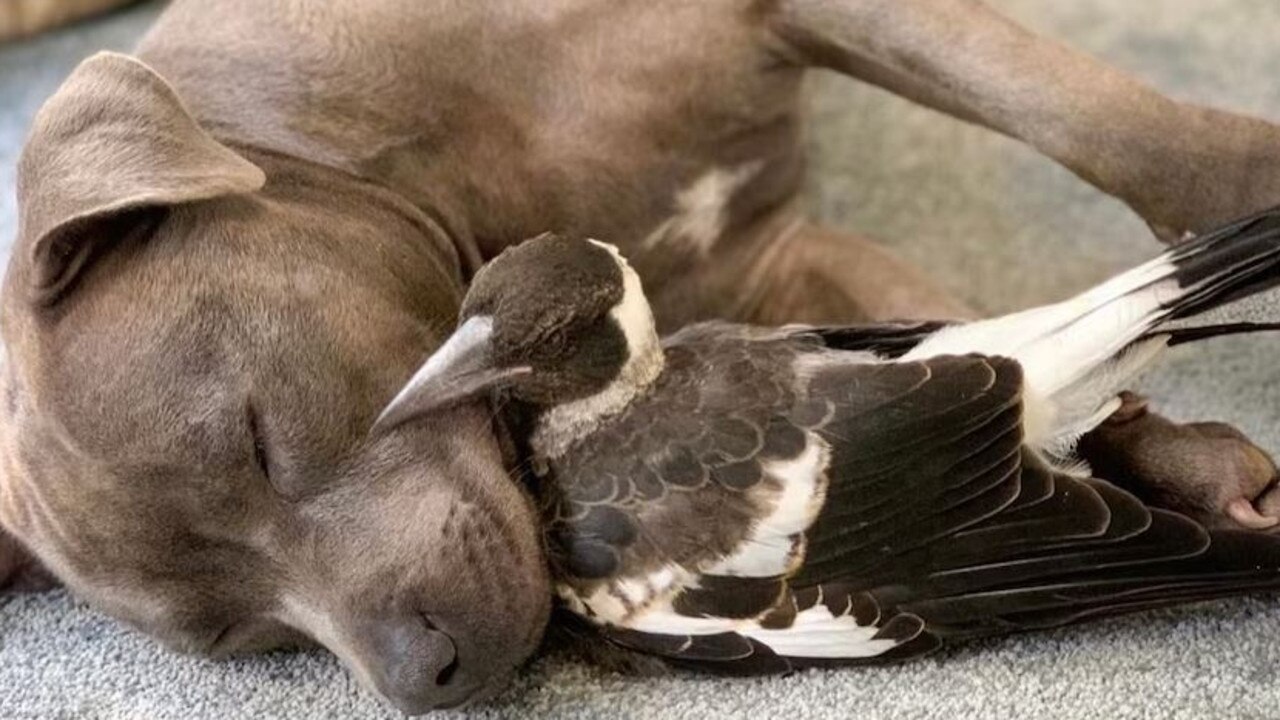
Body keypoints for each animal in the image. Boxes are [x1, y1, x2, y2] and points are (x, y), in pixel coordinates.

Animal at [2, 0, 1280, 707]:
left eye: (256, 437)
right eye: (239, 635)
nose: (424, 678)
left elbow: (1114, 128)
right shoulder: (788, 274)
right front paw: (1165, 450)